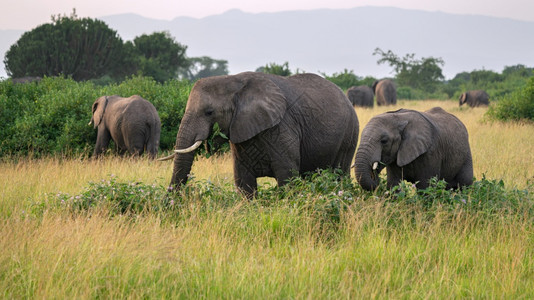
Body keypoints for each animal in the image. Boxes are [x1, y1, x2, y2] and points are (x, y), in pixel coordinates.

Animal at [159, 71, 360, 196]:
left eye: (209, 112)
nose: (172, 199)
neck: (233, 81)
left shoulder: (282, 127)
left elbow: (287, 177)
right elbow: (243, 182)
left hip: (349, 135)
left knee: (340, 174)